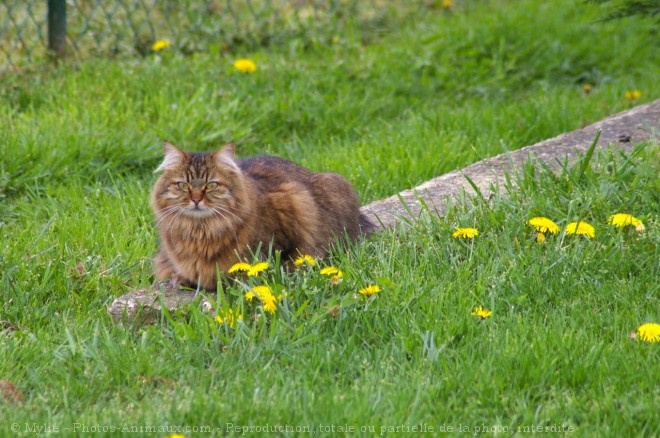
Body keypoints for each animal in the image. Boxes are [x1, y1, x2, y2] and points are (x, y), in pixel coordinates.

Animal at [151, 141, 376, 290]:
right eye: (183, 185)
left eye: (212, 185)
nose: (196, 199)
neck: (200, 231)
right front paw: (181, 279)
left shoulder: (293, 201)